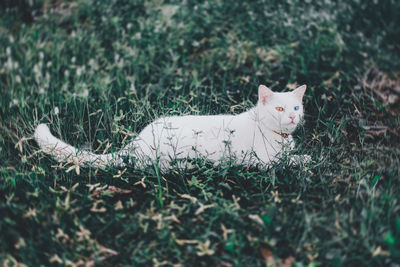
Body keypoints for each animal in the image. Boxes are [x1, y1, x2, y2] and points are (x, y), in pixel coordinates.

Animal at [33, 86, 310, 172]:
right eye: (279, 109)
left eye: (296, 107)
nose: (292, 117)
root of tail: (134, 143)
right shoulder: (263, 162)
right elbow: (286, 161)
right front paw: (304, 158)